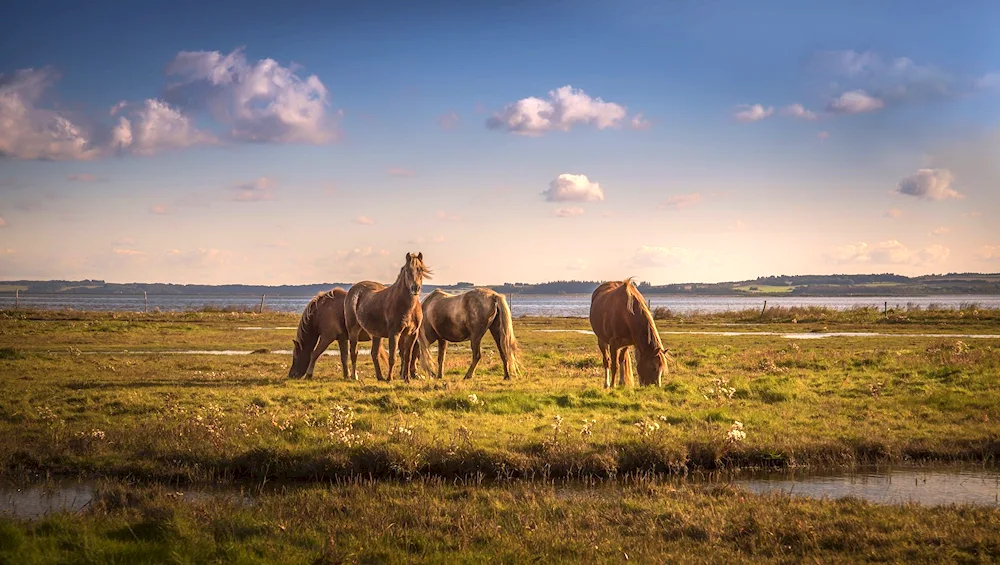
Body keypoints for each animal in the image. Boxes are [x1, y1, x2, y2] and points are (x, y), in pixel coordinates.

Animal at [344, 252, 430, 382]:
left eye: (420, 269)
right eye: (407, 270)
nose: (415, 288)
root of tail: (353, 290)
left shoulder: (412, 334)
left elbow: (408, 357)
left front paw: (407, 379)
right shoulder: (394, 333)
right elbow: (393, 357)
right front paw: (390, 378)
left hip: (376, 335)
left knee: (374, 353)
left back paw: (380, 377)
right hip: (353, 331)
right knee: (354, 352)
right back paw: (355, 376)